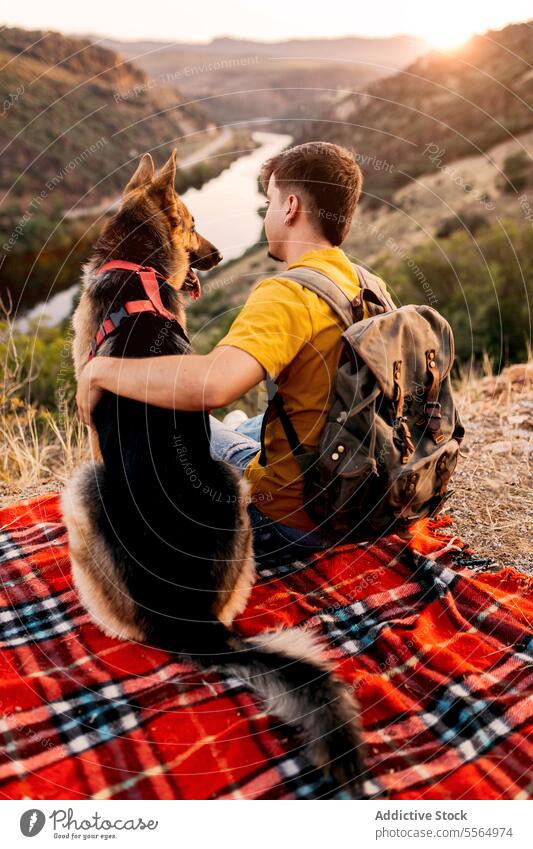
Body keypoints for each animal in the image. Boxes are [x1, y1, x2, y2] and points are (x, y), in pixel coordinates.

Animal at [60, 147, 364, 796]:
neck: (137, 267)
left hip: (86, 490)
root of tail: (194, 621)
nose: (221, 255)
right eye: (196, 222)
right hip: (230, 483)